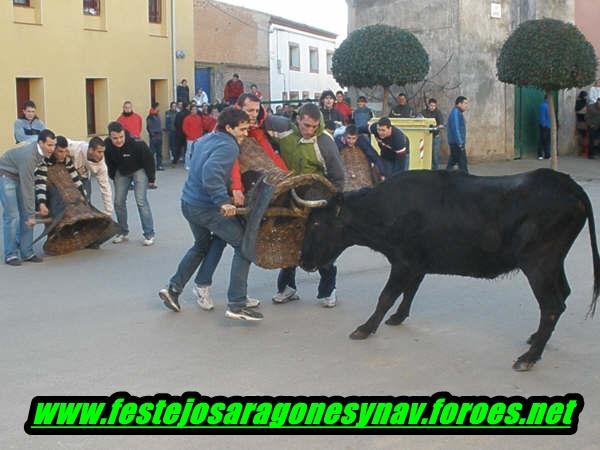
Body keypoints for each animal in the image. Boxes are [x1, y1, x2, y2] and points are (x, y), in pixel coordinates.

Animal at [300, 171, 600, 370]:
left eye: (315, 224)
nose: (303, 261)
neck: (386, 209)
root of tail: (570, 186)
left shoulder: (403, 262)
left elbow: (386, 296)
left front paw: (364, 328)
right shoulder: (417, 263)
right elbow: (409, 291)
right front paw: (398, 317)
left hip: (539, 264)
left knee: (551, 305)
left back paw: (529, 358)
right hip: (553, 263)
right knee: (562, 296)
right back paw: (536, 339)